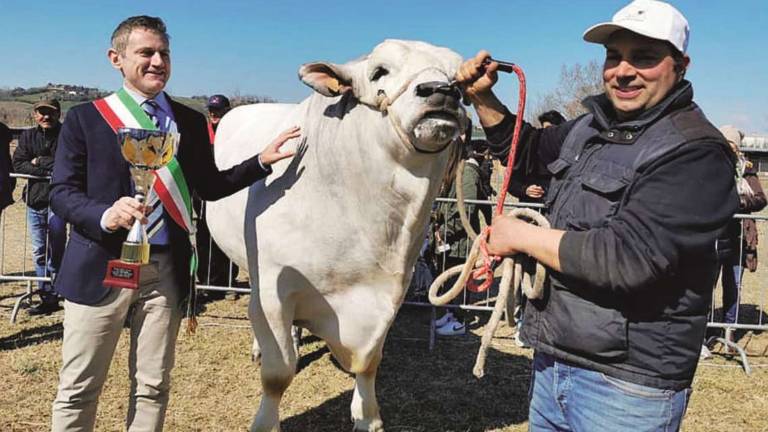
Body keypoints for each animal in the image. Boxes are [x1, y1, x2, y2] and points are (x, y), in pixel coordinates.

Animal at [207, 38, 464, 430]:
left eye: (460, 76)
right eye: (379, 71)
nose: (443, 91)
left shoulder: (388, 295)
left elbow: (369, 362)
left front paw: (368, 416)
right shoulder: (272, 290)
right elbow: (277, 373)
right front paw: (266, 420)